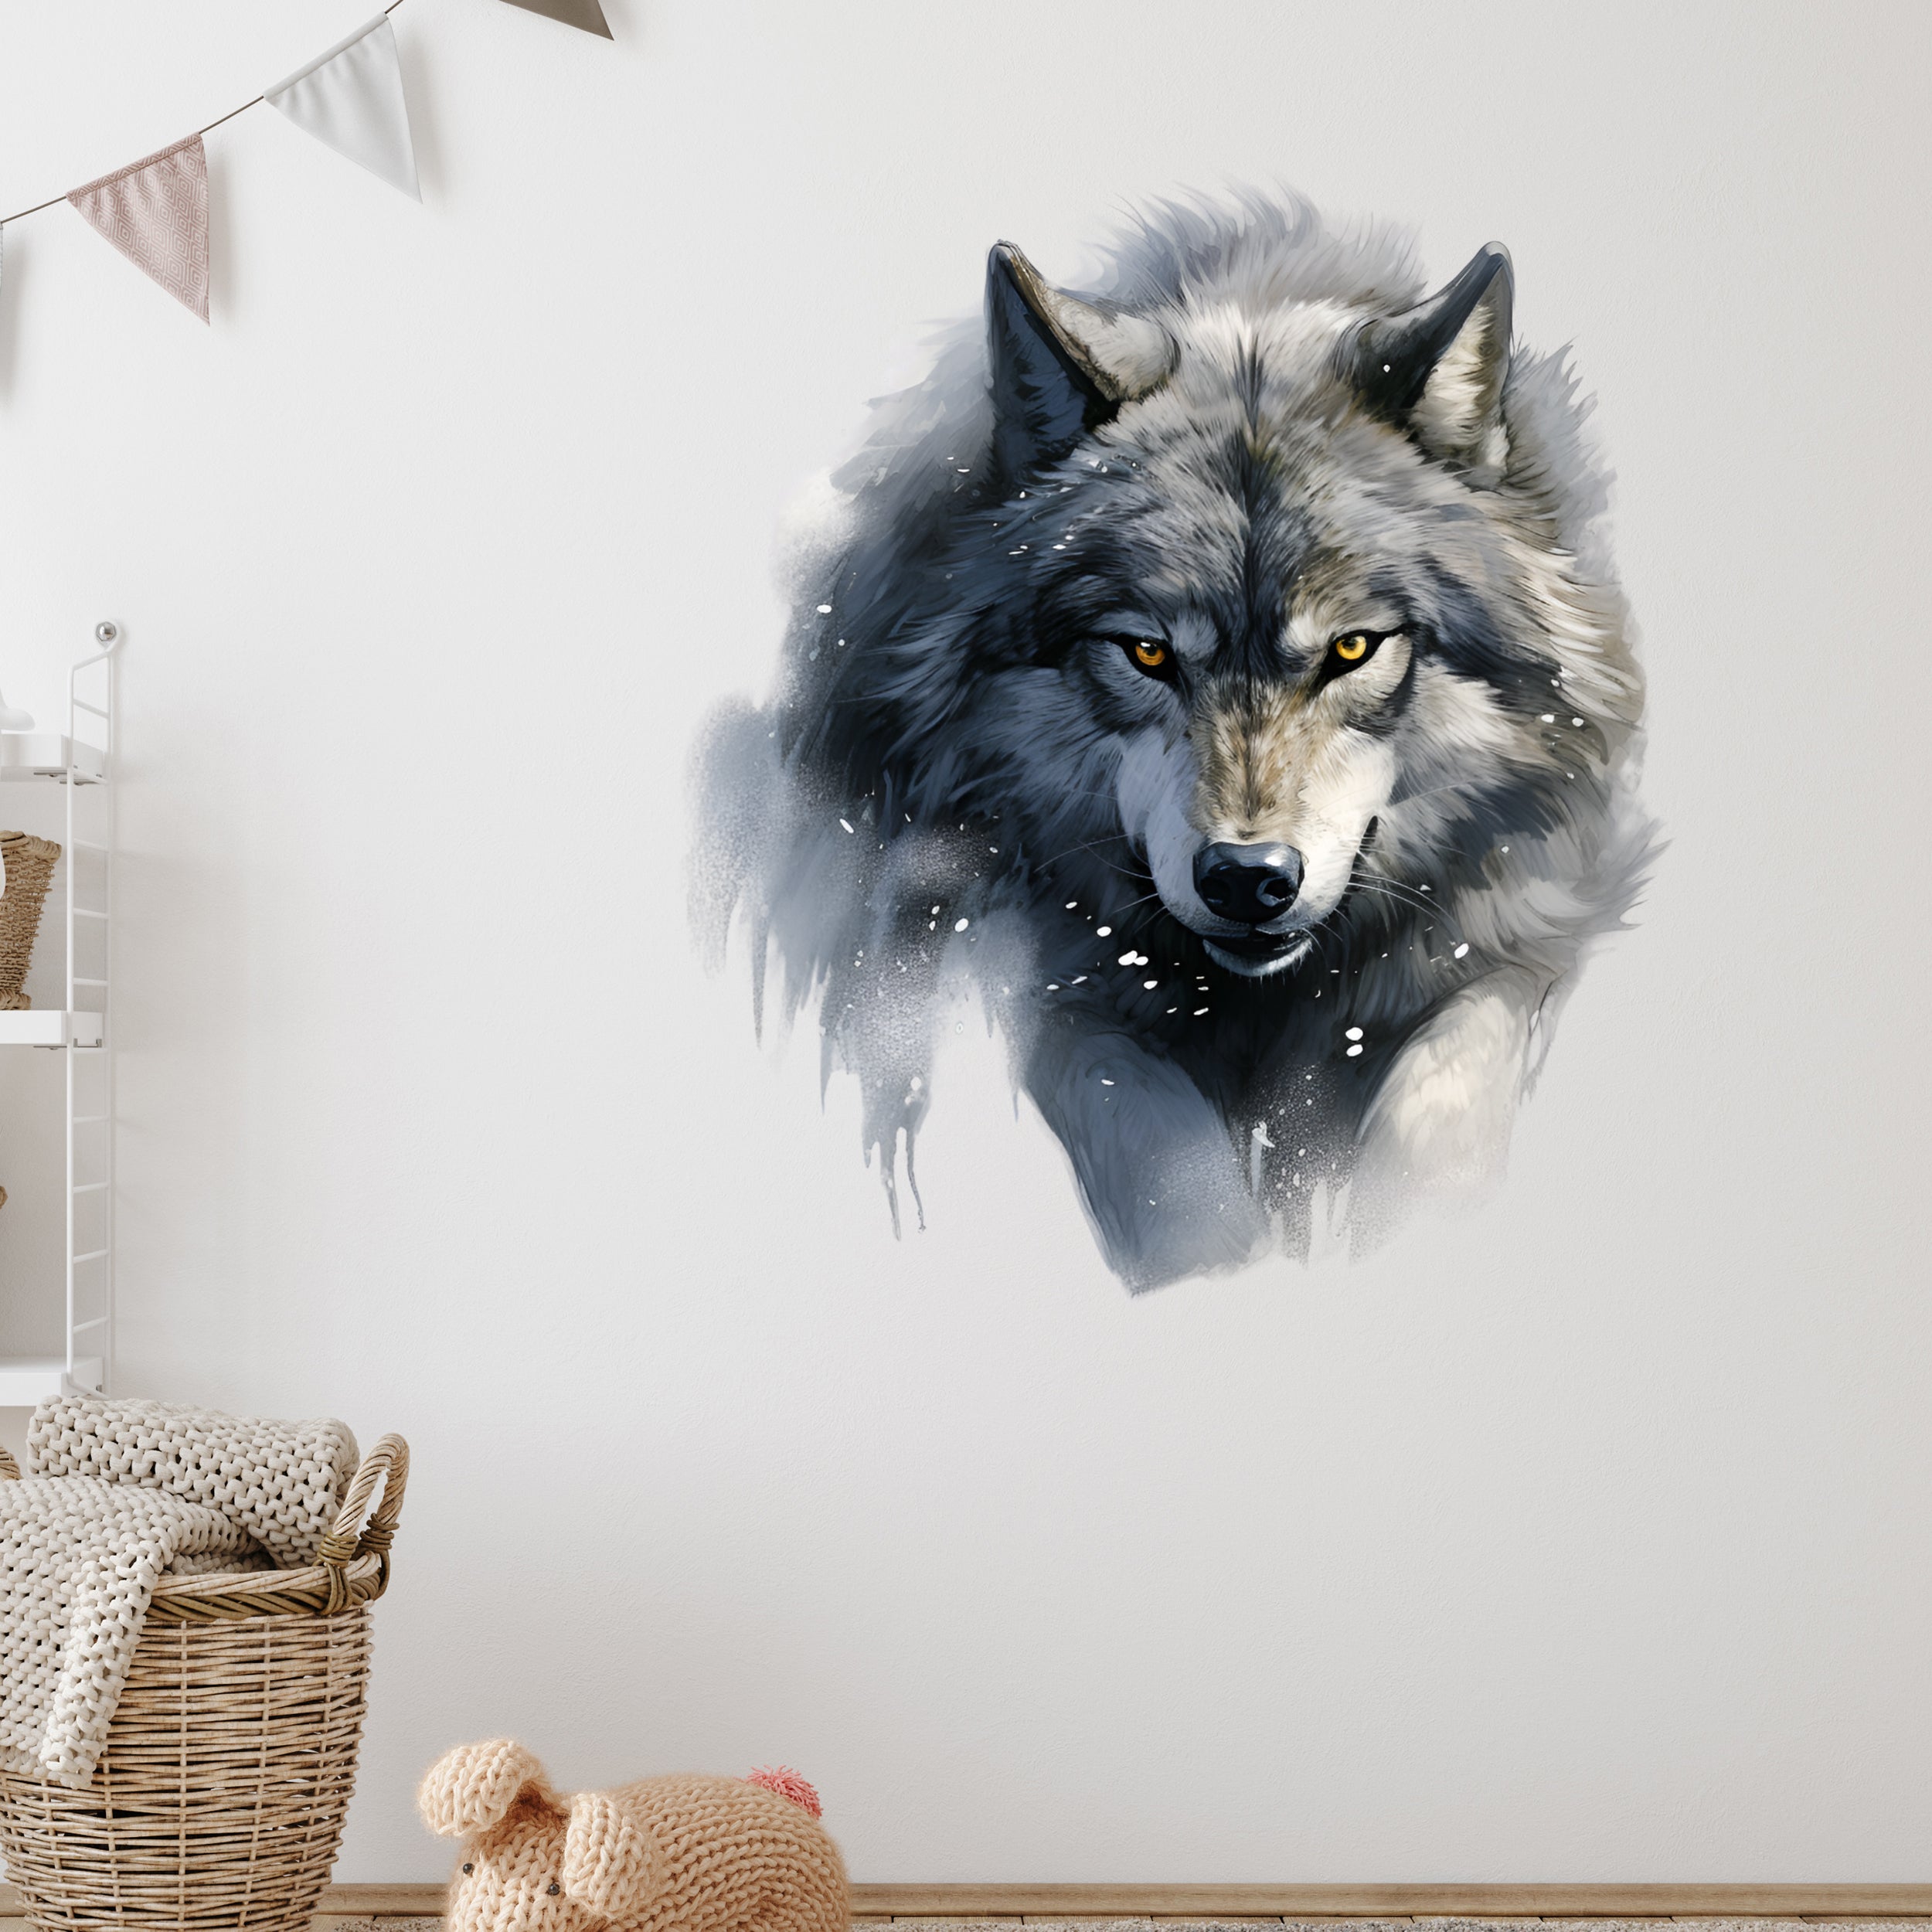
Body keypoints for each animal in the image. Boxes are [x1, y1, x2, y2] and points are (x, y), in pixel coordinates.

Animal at [693, 190, 1651, 1291]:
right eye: (1147, 652)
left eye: (1351, 647)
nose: (1247, 878)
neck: (1262, 1018)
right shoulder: (1043, 972)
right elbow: (1167, 1175)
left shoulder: (1514, 937)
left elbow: (1438, 1108)